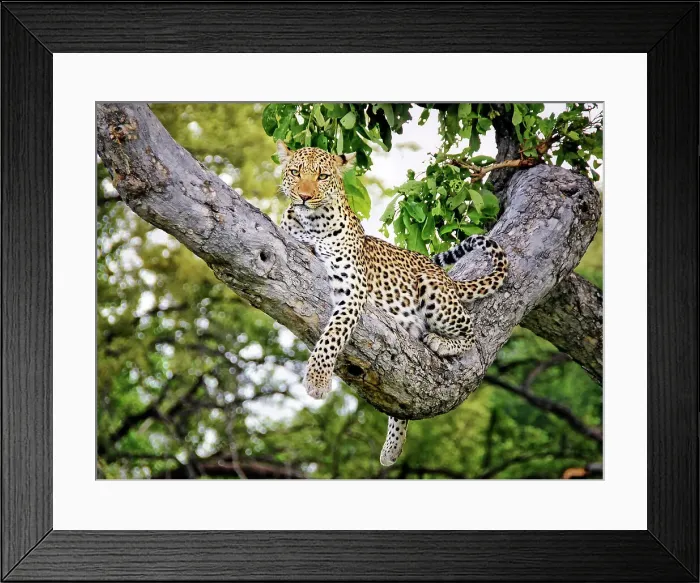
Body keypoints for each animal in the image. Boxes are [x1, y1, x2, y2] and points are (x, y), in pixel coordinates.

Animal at [276, 141, 509, 467]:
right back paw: (393, 447)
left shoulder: (353, 288)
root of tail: (445, 278)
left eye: (322, 176)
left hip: (434, 290)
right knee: (402, 400)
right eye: (296, 172)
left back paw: (442, 342)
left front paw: (317, 380)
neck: (311, 224)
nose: (305, 196)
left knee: (471, 332)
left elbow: (332, 336)